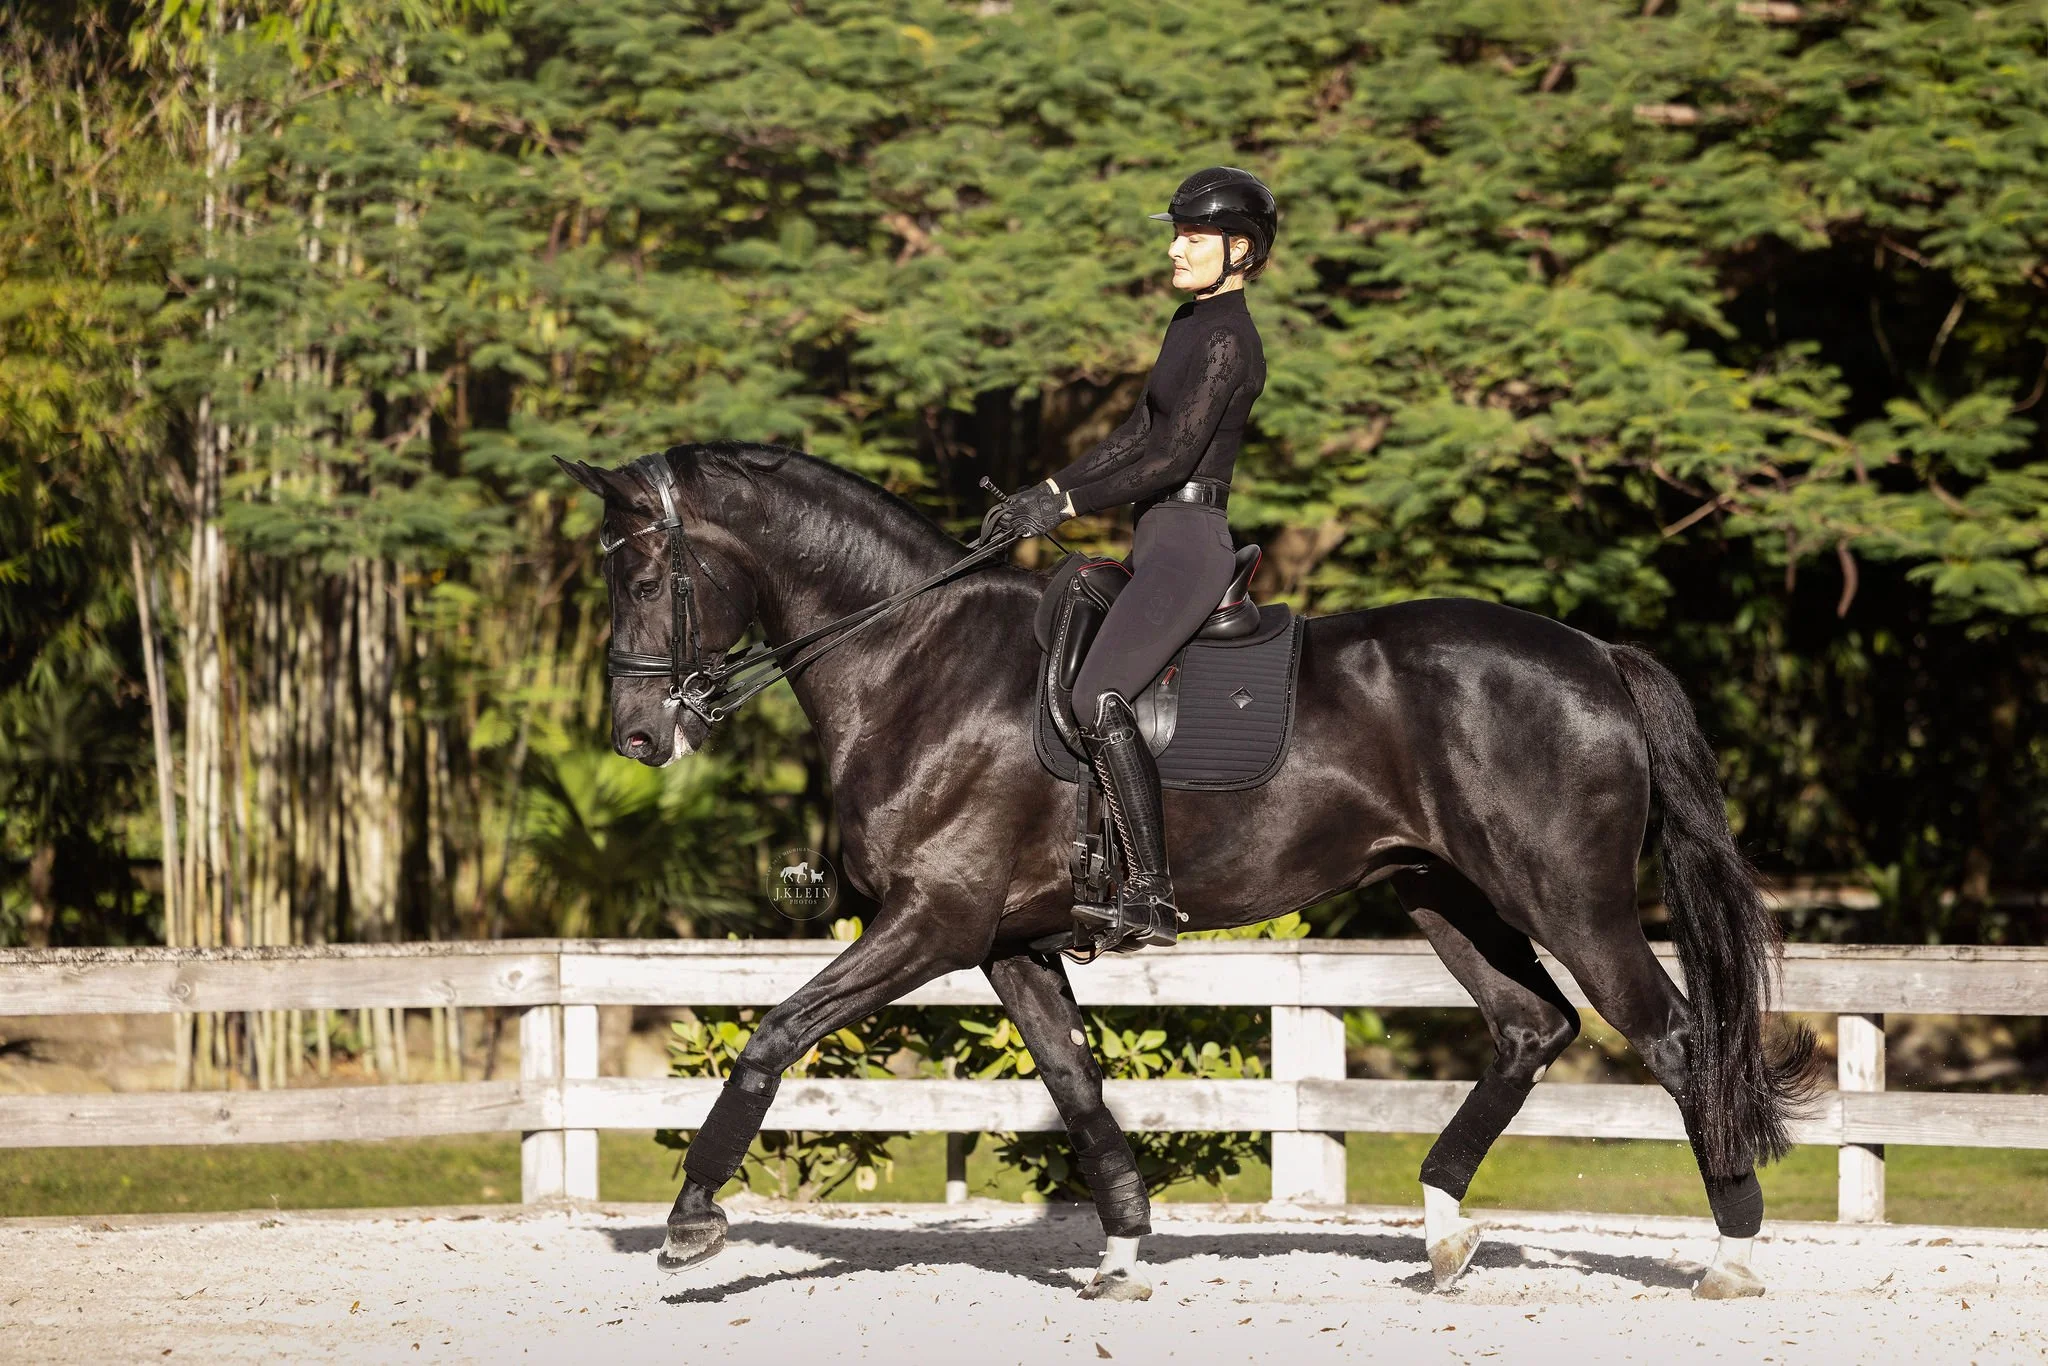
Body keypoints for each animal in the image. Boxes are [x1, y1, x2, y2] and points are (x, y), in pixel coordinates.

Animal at [556, 441, 1815, 1303]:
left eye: (642, 576)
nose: (638, 739)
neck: (912, 656)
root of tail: (1596, 655)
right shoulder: (1006, 944)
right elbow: (1075, 1085)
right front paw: (1120, 1243)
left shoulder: (929, 923)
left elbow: (773, 1035)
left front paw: (689, 1217)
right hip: (1440, 892)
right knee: (1528, 1027)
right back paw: (1443, 1230)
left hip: (1566, 898)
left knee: (1672, 1036)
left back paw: (1727, 1249)